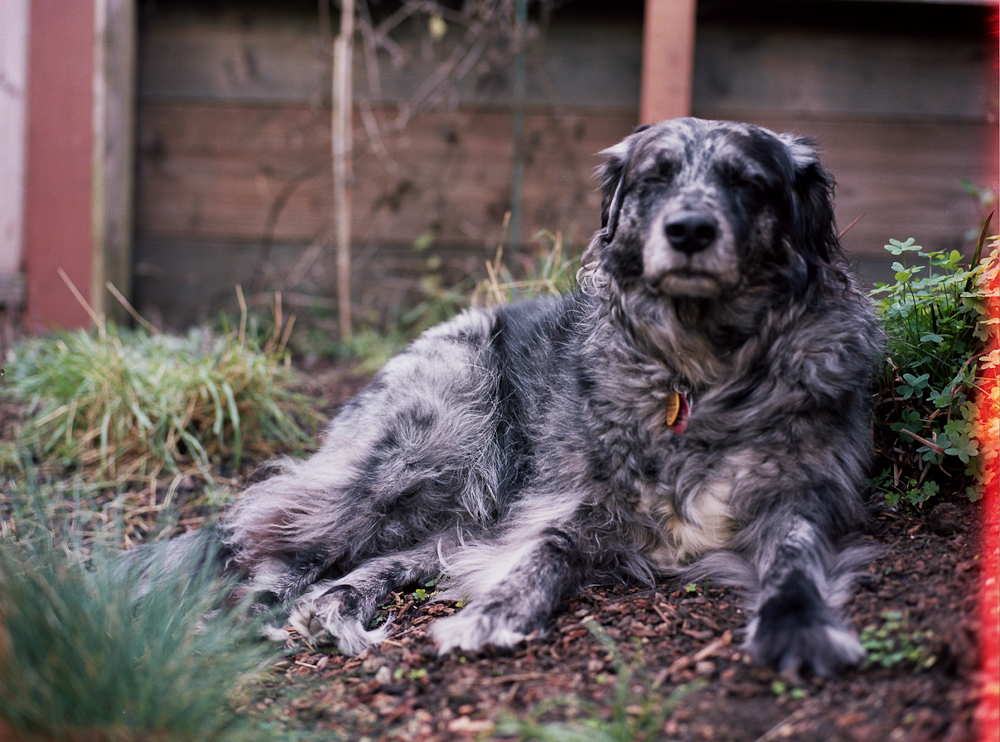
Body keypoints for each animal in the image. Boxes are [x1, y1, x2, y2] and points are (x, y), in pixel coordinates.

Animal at [152, 117, 880, 680]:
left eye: (747, 181)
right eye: (656, 176)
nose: (690, 231)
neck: (699, 373)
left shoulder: (802, 497)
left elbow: (795, 558)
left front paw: (802, 626)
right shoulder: (572, 505)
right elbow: (546, 551)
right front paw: (495, 613)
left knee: (372, 560)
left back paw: (335, 607)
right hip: (411, 462)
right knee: (262, 532)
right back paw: (256, 610)